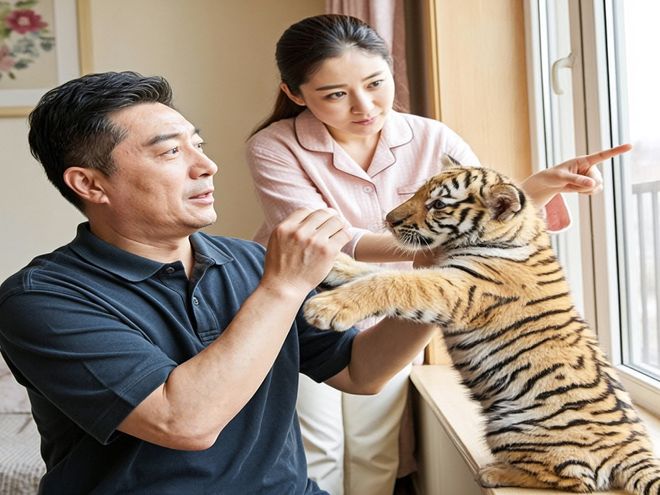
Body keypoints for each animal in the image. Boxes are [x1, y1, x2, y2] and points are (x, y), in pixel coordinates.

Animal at [303, 157, 660, 494]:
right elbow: (372, 272)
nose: (390, 220)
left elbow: (394, 281)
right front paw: (334, 263)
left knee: (574, 479)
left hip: (510, 425)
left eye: (438, 204)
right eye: (418, 192)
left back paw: (494, 473)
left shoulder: (457, 287)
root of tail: (633, 450)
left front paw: (326, 307)